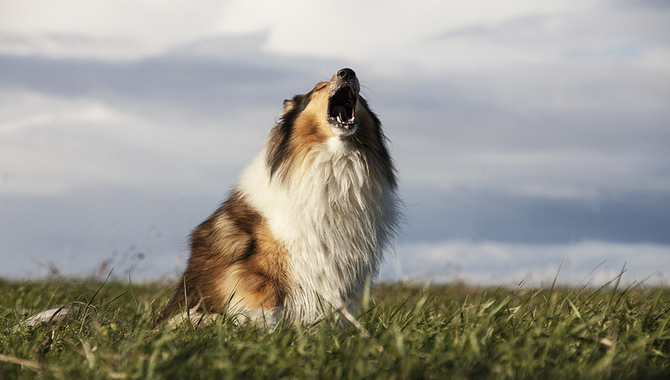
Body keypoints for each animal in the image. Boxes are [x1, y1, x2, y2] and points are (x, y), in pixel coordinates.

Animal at [154, 69, 400, 326]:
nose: (347, 72)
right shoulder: (260, 271)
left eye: (361, 99)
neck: (334, 165)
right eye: (320, 88)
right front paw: (268, 332)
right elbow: (267, 308)